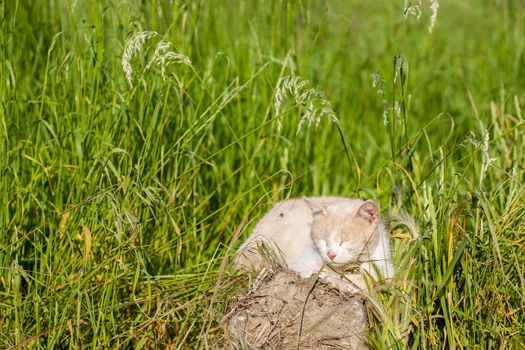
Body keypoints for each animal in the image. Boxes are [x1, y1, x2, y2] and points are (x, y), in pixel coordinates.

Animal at [234, 197, 392, 292]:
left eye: (345, 241)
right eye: (324, 241)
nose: (331, 254)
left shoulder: (384, 268)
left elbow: (368, 281)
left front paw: (339, 281)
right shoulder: (304, 267)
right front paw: (333, 279)